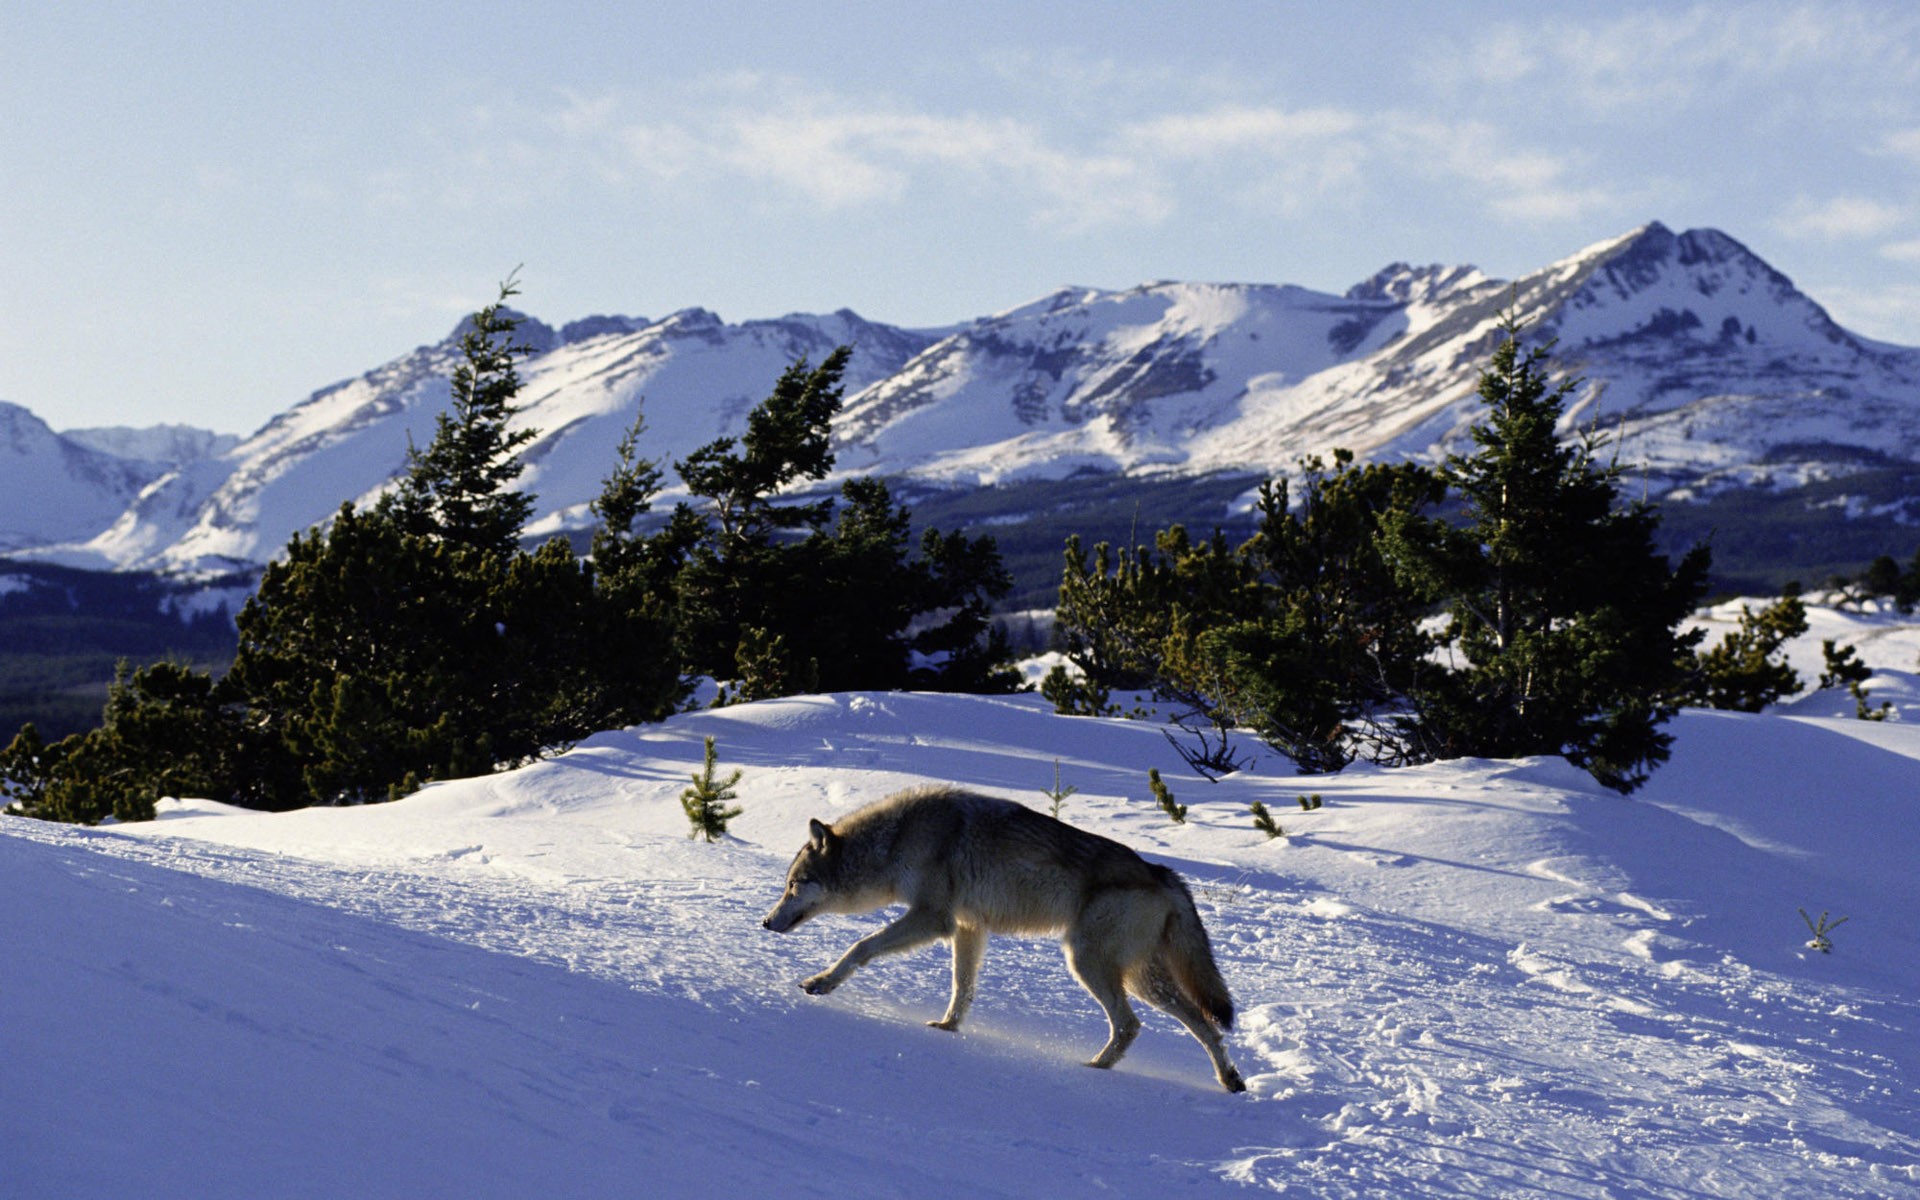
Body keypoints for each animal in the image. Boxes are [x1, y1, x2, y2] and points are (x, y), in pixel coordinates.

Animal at [760, 783, 1244, 1090]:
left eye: (793, 885)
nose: (765, 922)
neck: (897, 840)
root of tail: (1163, 873)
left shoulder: (933, 918)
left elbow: (860, 946)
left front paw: (821, 982)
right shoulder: (967, 927)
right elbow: (963, 986)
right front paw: (948, 1028)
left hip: (1089, 964)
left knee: (1130, 1025)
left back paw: (1094, 1068)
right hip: (1143, 981)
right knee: (1204, 1024)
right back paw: (1230, 1080)